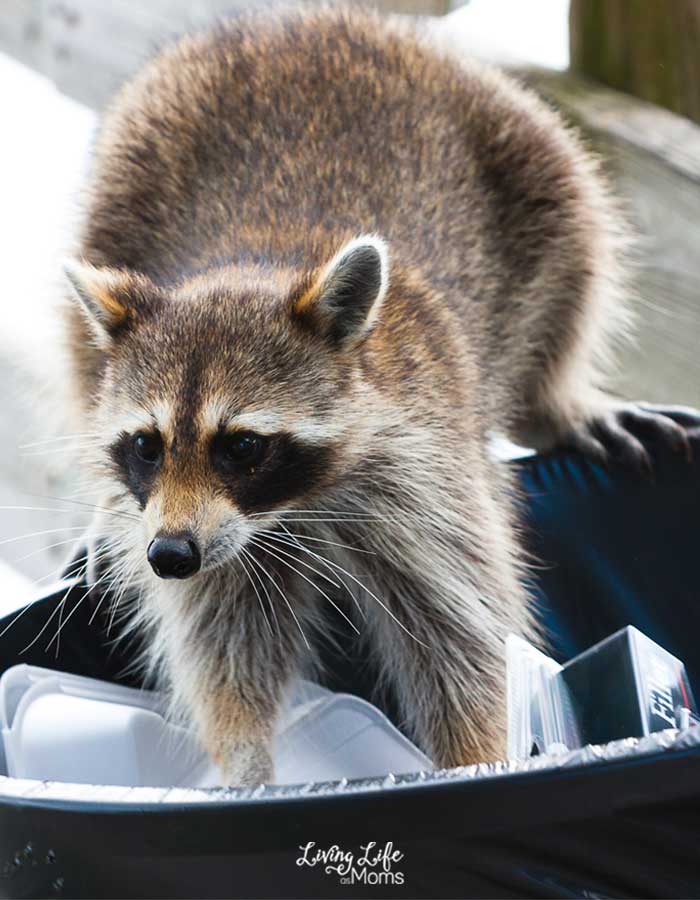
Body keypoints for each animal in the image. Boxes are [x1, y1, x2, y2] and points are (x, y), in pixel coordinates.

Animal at [60, 7, 696, 784]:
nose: (169, 556)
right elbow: (224, 636)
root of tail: (304, 18)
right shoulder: (212, 535)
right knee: (81, 344)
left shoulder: (429, 471)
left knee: (576, 253)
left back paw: (557, 401)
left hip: (527, 152)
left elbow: (464, 633)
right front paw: (245, 759)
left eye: (241, 446)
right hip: (123, 179)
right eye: (146, 446)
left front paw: (476, 759)